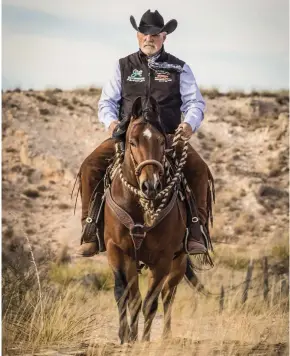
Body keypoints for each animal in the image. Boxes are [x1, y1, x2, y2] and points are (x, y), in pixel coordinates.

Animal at [103, 96, 205, 344]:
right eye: (132, 142)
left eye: (161, 141)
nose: (150, 186)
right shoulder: (117, 250)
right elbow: (124, 296)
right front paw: (126, 337)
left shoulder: (162, 259)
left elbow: (151, 302)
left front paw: (145, 341)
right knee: (136, 297)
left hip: (178, 263)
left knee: (168, 296)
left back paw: (166, 336)